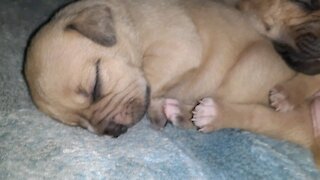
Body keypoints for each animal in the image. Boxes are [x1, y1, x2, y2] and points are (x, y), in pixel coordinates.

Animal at [23, 0, 320, 166]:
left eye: (96, 86)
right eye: (79, 125)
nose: (113, 132)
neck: (132, 26)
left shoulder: (177, 50)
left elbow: (151, 81)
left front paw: (155, 106)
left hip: (247, 69)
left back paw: (201, 112)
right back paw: (177, 111)